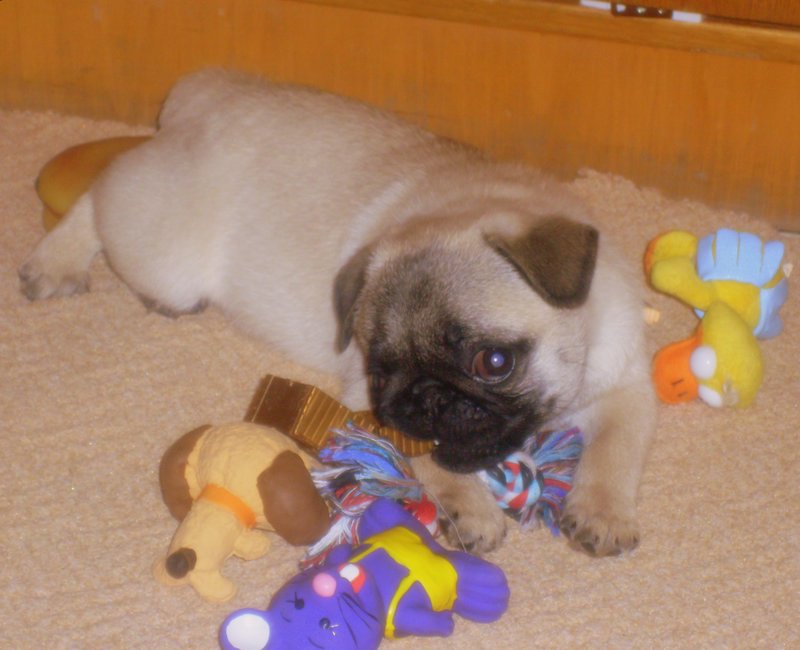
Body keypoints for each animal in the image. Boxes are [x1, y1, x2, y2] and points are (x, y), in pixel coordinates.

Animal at [19, 69, 655, 556]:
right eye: (380, 367)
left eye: (493, 361)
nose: (425, 397)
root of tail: (207, 91)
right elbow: (435, 463)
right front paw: (468, 508)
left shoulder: (626, 384)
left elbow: (616, 449)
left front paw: (603, 512)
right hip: (165, 256)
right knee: (99, 197)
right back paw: (56, 262)